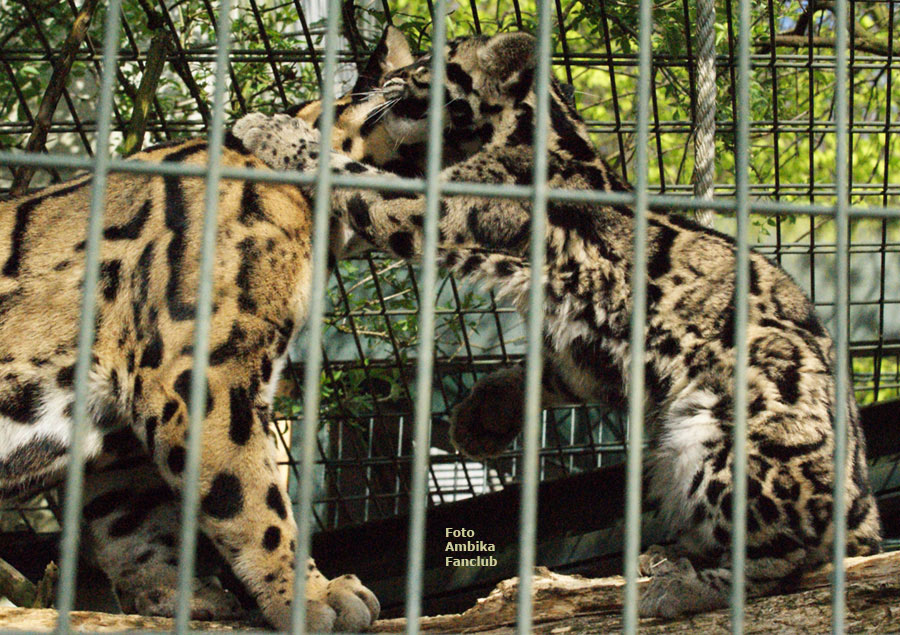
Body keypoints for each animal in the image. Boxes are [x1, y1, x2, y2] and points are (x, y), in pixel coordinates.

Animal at [0, 28, 438, 632]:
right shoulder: (202, 372)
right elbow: (253, 499)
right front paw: (311, 595)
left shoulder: (121, 431)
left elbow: (131, 523)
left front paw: (179, 598)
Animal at [236, 27, 884, 620]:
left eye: (423, 65)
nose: (379, 82)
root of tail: (866, 512)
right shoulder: (590, 354)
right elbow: (547, 373)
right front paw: (480, 419)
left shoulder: (434, 207)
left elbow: (355, 178)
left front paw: (269, 129)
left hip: (724, 432)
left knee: (790, 552)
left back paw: (683, 583)